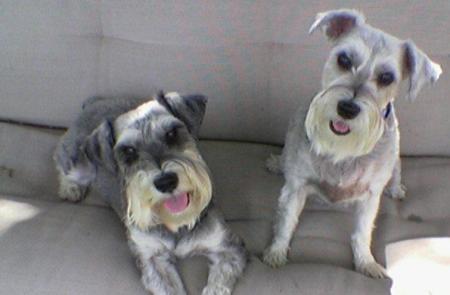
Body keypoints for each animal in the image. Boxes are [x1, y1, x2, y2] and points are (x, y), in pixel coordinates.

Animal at [55, 92, 250, 295]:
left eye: (171, 133)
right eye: (129, 151)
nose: (166, 182)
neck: (175, 222)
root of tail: (93, 103)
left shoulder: (227, 246)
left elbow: (220, 278)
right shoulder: (151, 258)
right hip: (79, 165)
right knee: (62, 165)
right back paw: (70, 189)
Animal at [262, 8, 442, 278]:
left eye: (387, 77)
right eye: (344, 59)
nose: (347, 108)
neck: (342, 150)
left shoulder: (370, 198)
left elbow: (362, 233)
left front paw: (366, 262)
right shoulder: (296, 187)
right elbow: (286, 221)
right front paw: (276, 253)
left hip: (395, 161)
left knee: (396, 173)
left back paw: (396, 189)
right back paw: (277, 163)